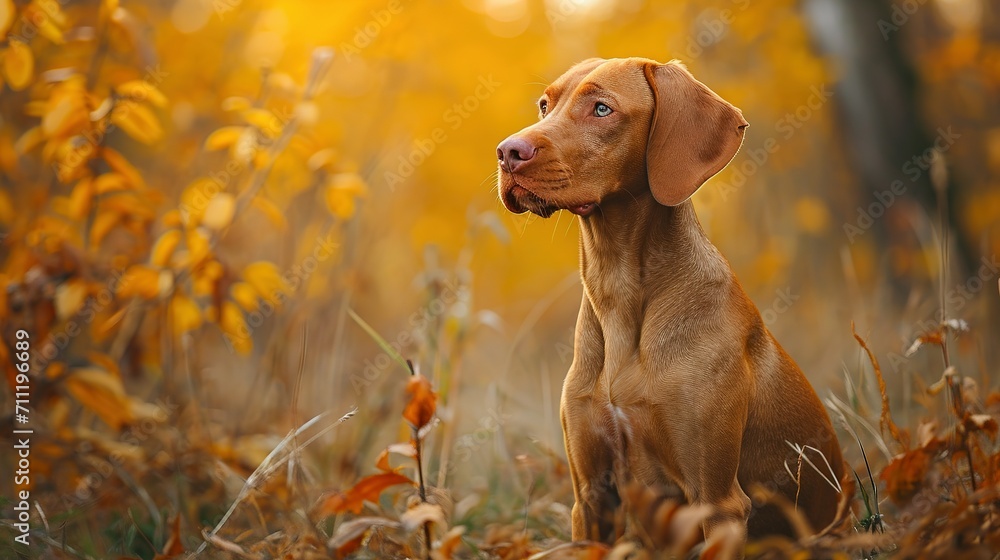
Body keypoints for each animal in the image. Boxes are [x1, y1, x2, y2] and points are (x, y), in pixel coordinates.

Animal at [496, 58, 848, 552]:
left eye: (601, 108)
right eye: (545, 105)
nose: (507, 152)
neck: (618, 291)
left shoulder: (718, 501)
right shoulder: (592, 496)